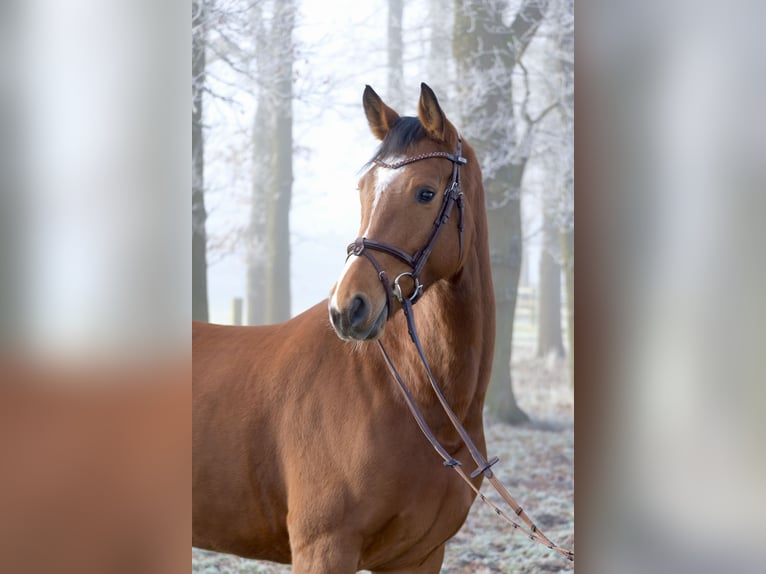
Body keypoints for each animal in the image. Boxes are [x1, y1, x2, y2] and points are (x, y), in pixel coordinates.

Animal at [194, 84, 498, 574]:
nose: (347, 308)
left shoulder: (421, 557)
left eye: (426, 193)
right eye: (363, 189)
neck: (409, 396)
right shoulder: (324, 549)